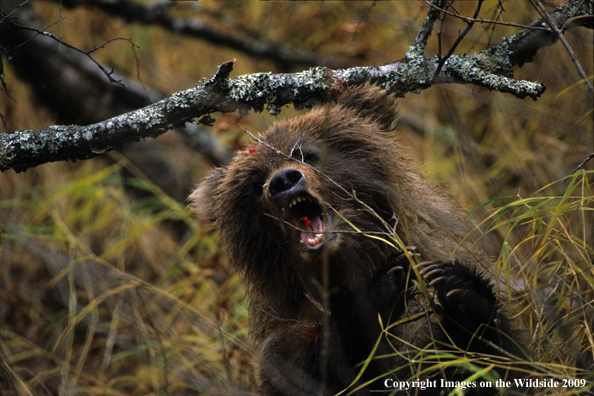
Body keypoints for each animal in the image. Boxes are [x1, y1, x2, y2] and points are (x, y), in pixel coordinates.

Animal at [191, 85, 524, 394]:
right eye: (255, 182)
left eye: (307, 153)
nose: (283, 180)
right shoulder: (285, 348)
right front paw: (386, 286)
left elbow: (498, 360)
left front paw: (459, 288)